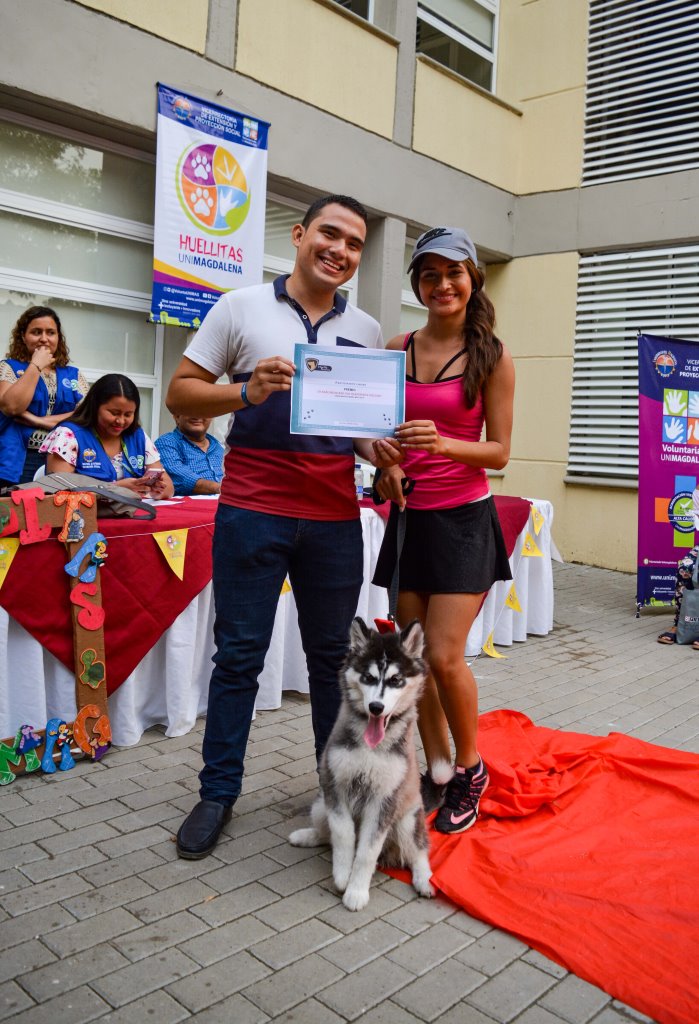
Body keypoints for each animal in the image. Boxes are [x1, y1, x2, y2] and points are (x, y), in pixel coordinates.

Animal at [288, 614, 431, 913]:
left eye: (396, 680)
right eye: (368, 677)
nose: (376, 707)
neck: (371, 747)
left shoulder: (384, 801)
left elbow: (366, 851)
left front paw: (356, 891)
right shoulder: (335, 787)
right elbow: (343, 836)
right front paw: (343, 875)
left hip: (407, 820)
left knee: (419, 851)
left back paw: (424, 879)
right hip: (320, 806)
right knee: (326, 833)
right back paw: (307, 836)